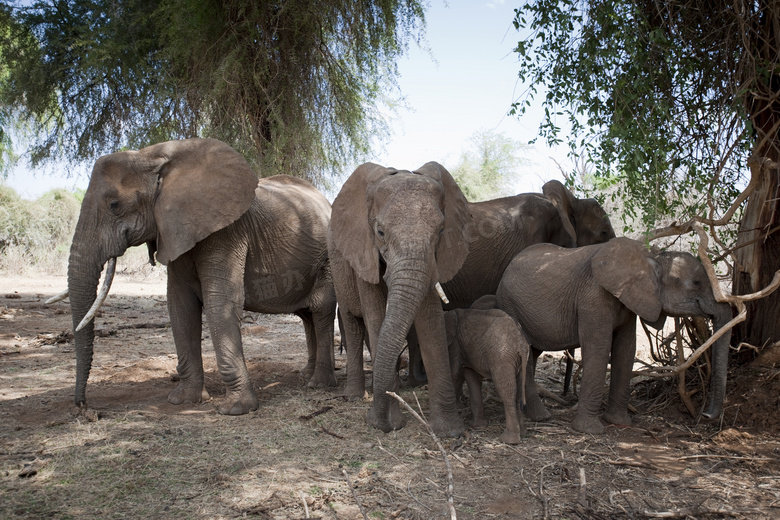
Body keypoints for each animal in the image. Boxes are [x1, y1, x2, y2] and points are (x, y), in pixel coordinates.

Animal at [63, 137, 336, 414]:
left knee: (321, 311)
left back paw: (318, 384)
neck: (152, 155)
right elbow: (180, 306)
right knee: (307, 316)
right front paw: (183, 400)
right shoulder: (175, 231)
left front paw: (235, 409)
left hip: (327, 260)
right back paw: (306, 375)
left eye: (114, 205)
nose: (83, 406)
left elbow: (219, 302)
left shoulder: (226, 231)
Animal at [328, 160, 472, 436]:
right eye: (380, 232)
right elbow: (375, 316)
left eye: (440, 231)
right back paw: (355, 396)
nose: (376, 421)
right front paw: (386, 423)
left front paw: (450, 432)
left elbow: (431, 322)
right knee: (353, 324)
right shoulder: (363, 251)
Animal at [444, 306, 532, 444]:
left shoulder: (455, 345)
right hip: (519, 360)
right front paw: (477, 426)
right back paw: (522, 433)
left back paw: (508, 440)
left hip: (502, 357)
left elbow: (455, 372)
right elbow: (470, 377)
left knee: (506, 390)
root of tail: (521, 343)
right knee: (517, 390)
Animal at [496, 238, 736, 432]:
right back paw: (541, 417)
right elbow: (599, 349)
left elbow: (625, 349)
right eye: (696, 283)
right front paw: (590, 430)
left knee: (533, 353)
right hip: (510, 305)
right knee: (527, 353)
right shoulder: (593, 296)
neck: (652, 259)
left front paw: (620, 422)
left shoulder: (629, 301)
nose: (705, 414)